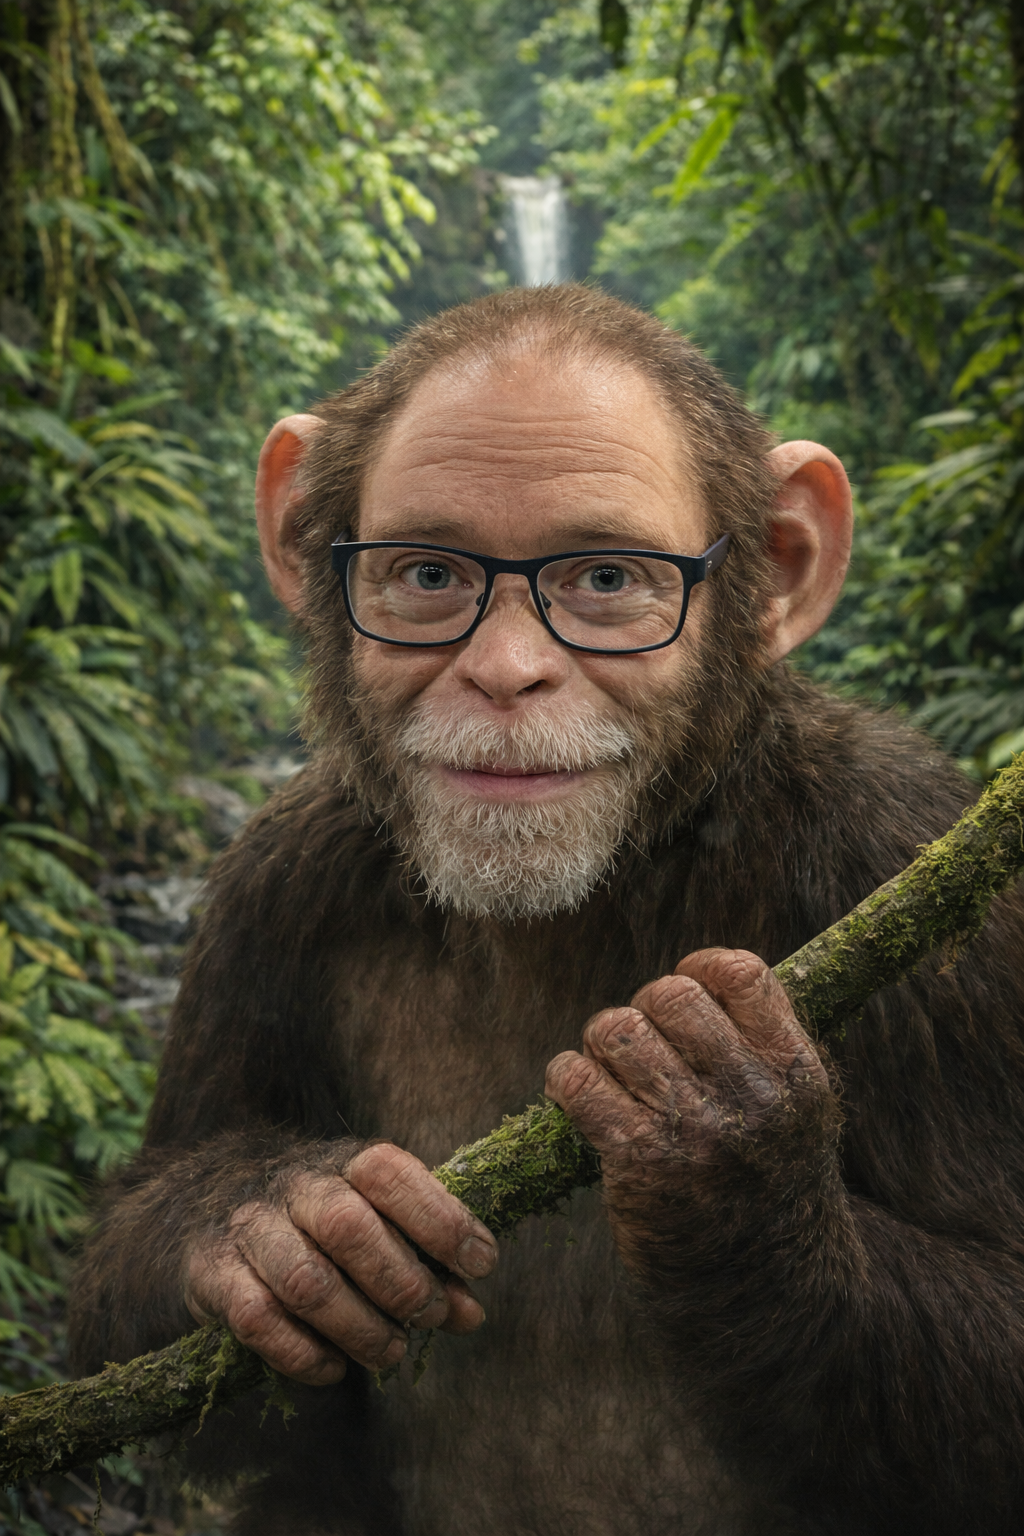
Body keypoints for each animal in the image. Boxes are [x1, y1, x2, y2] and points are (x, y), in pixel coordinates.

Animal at [69, 285, 1024, 1536]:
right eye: (429, 575)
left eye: (604, 580)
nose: (505, 681)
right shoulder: (268, 884)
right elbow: (135, 1248)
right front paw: (278, 1232)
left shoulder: (908, 856)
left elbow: (1003, 1299)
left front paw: (727, 1142)